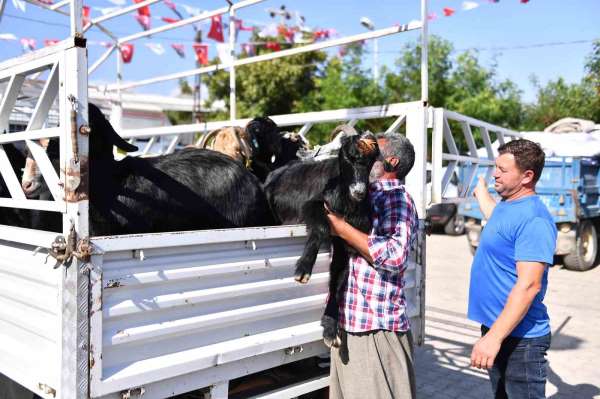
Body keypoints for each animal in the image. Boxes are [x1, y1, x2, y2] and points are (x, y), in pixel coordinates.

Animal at [264, 127, 380, 346]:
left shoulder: (345, 240)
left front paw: (330, 328)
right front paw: (303, 270)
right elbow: (322, 228)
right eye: (348, 157)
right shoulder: (312, 206)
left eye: (372, 160)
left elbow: (339, 276)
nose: (359, 191)